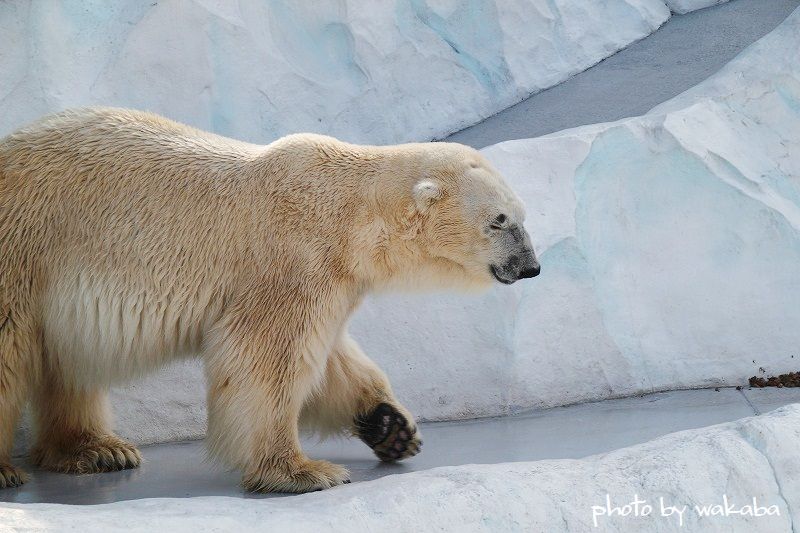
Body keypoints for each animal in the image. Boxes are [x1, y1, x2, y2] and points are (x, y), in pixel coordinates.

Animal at [0, 107, 540, 490]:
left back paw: (96, 450)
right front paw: (303, 471)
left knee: (68, 365)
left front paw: (391, 426)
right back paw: (16, 469)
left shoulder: (334, 278)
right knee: (12, 348)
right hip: (25, 248)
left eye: (521, 214)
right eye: (500, 221)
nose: (532, 266)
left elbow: (332, 359)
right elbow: (266, 359)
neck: (351, 211)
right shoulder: (292, 258)